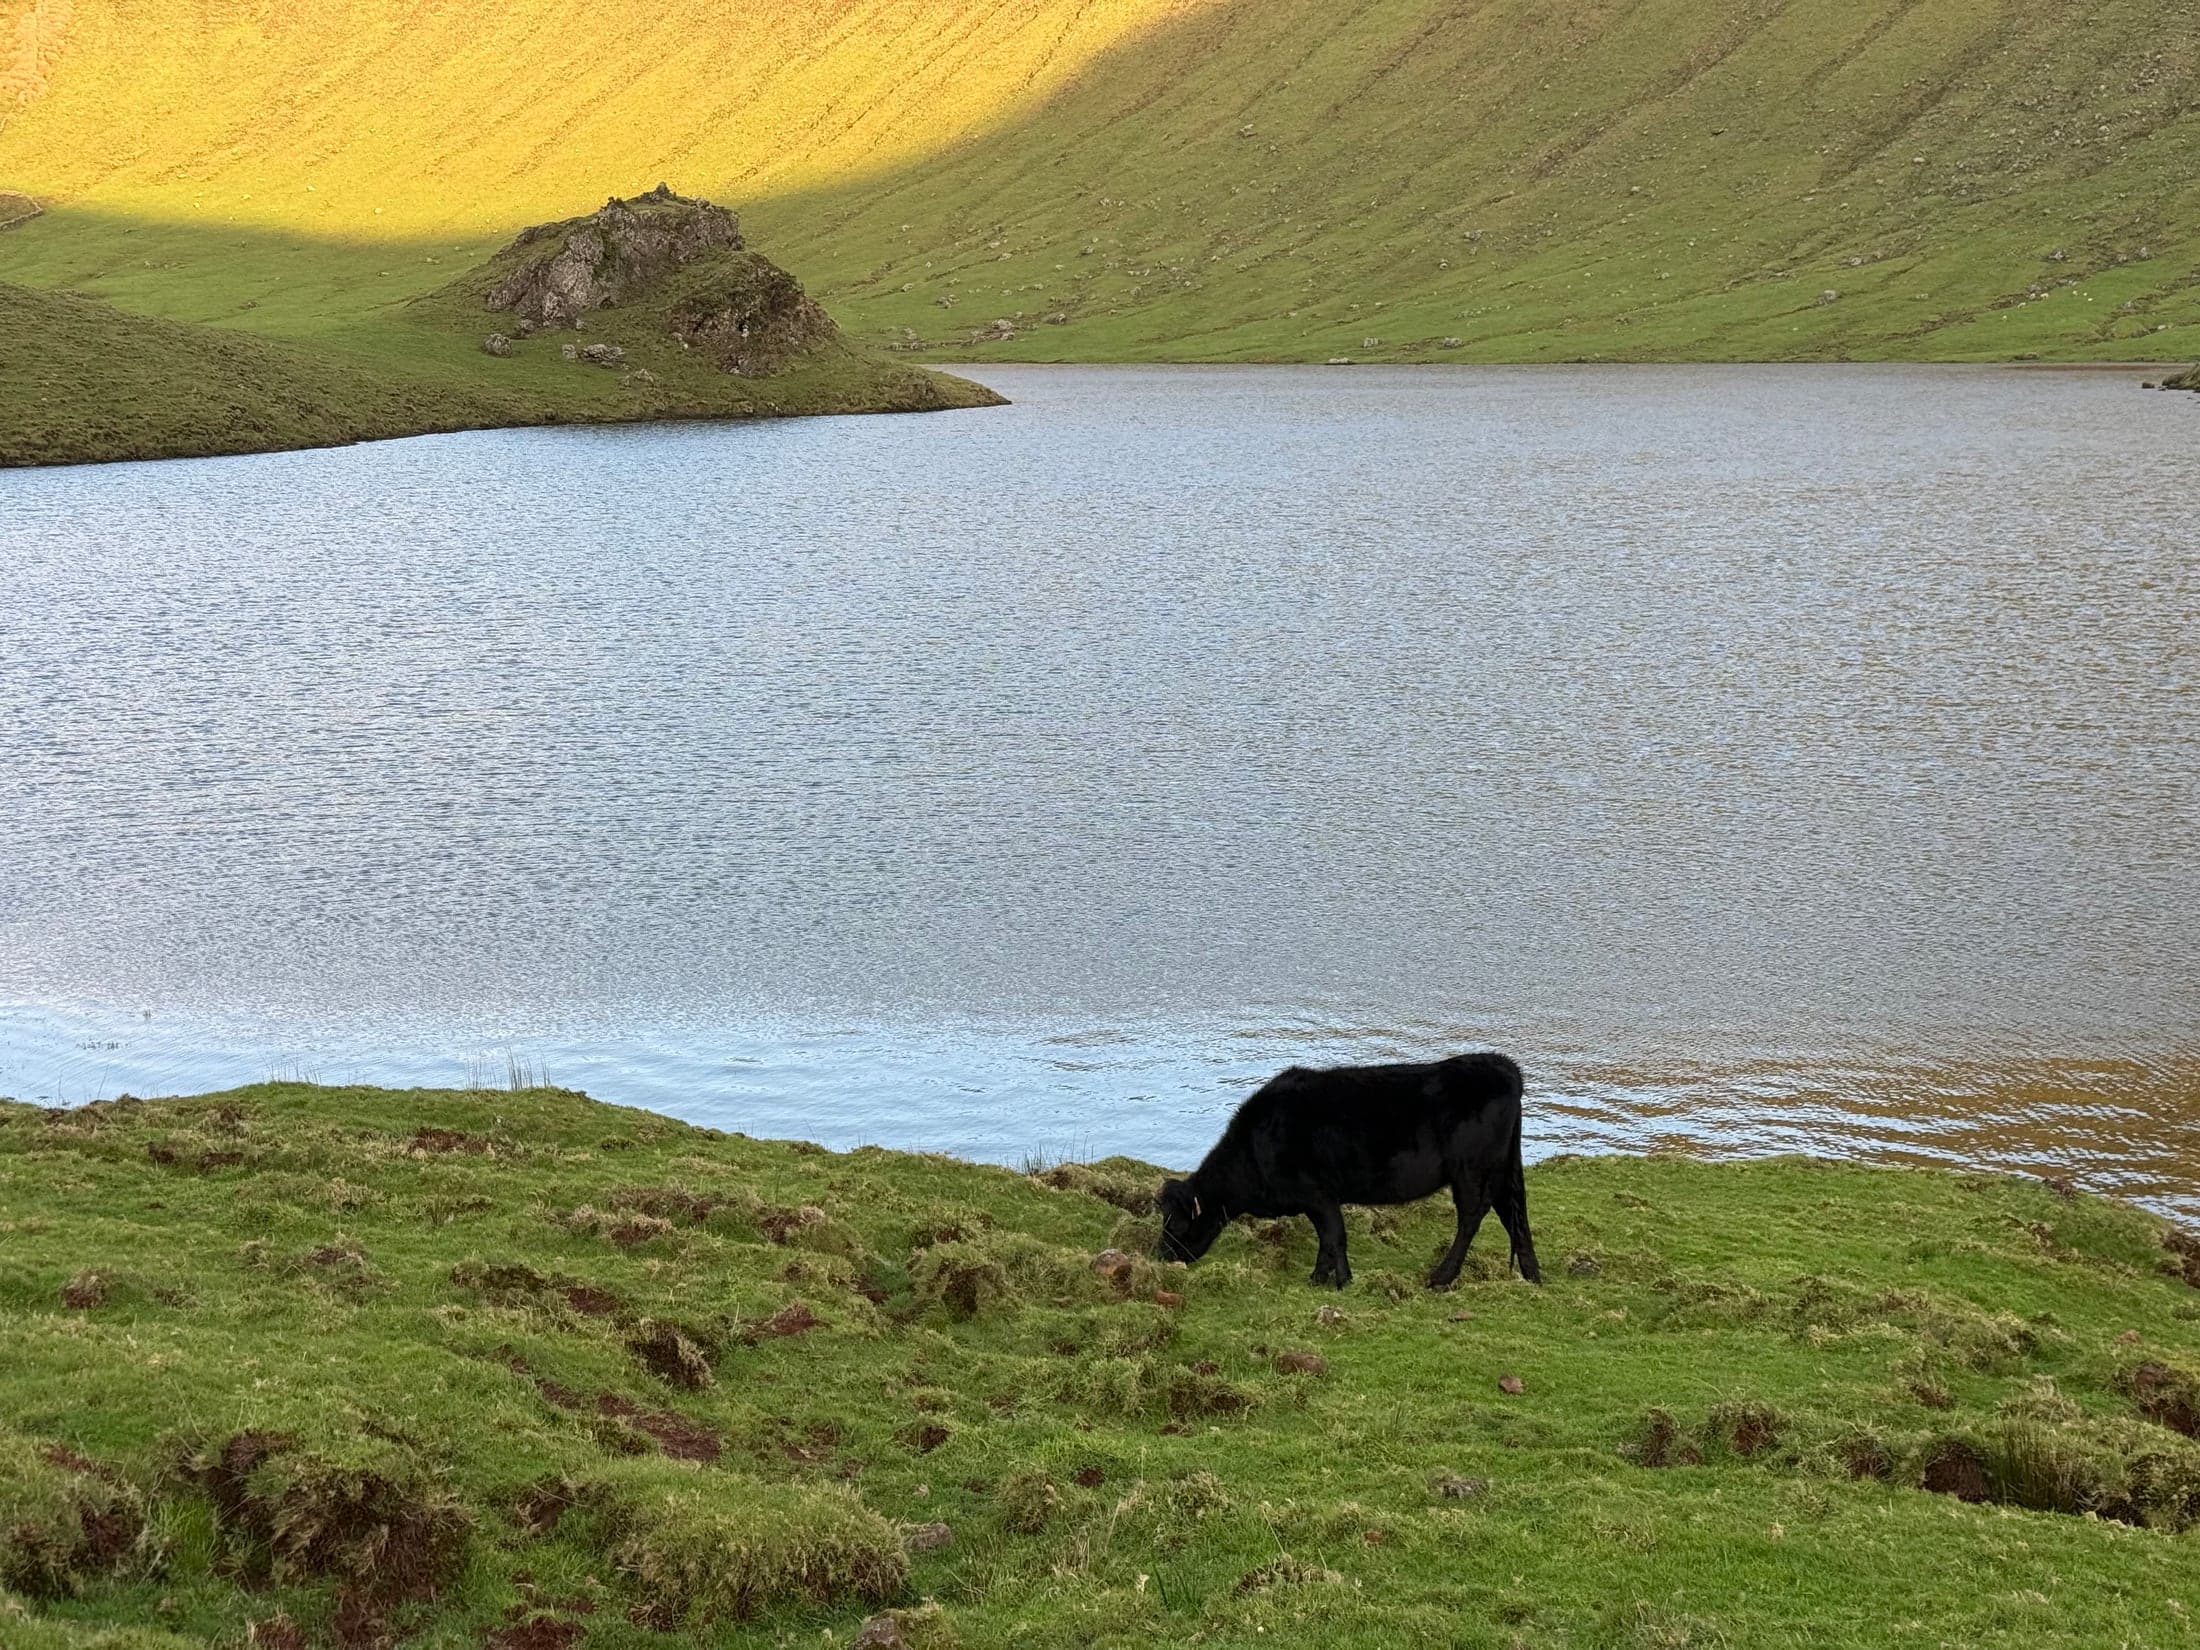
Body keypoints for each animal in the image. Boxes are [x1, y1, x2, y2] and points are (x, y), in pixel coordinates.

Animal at [1154, 1052, 1540, 1289]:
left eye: (1176, 1224)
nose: (1160, 1255)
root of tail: (1503, 1066)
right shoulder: (1318, 1198)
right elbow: (1328, 1239)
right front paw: (1319, 1278)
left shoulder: (1317, 1194)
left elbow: (1334, 1237)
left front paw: (1340, 1281)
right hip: (1502, 1169)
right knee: (1514, 1215)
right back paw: (1532, 1275)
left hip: (1471, 1171)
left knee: (1472, 1217)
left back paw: (1441, 1277)